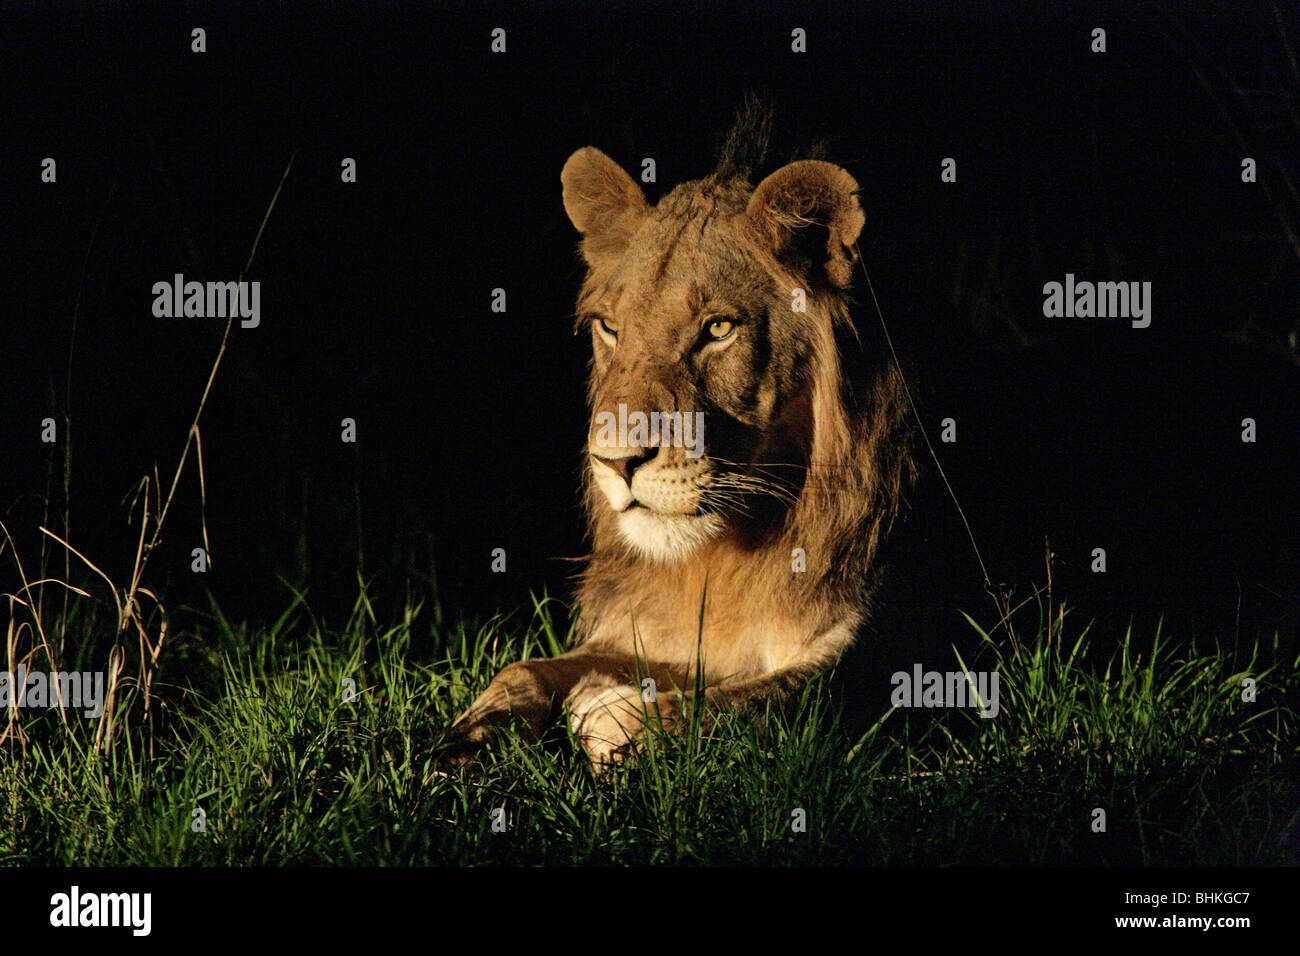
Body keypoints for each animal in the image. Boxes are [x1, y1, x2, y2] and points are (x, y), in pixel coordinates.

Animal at [447, 113, 915, 770]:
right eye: (610, 328)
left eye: (718, 329)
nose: (616, 463)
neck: (728, 552)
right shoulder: (647, 625)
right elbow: (523, 669)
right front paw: (465, 738)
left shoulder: (876, 651)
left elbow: (752, 700)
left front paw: (612, 711)